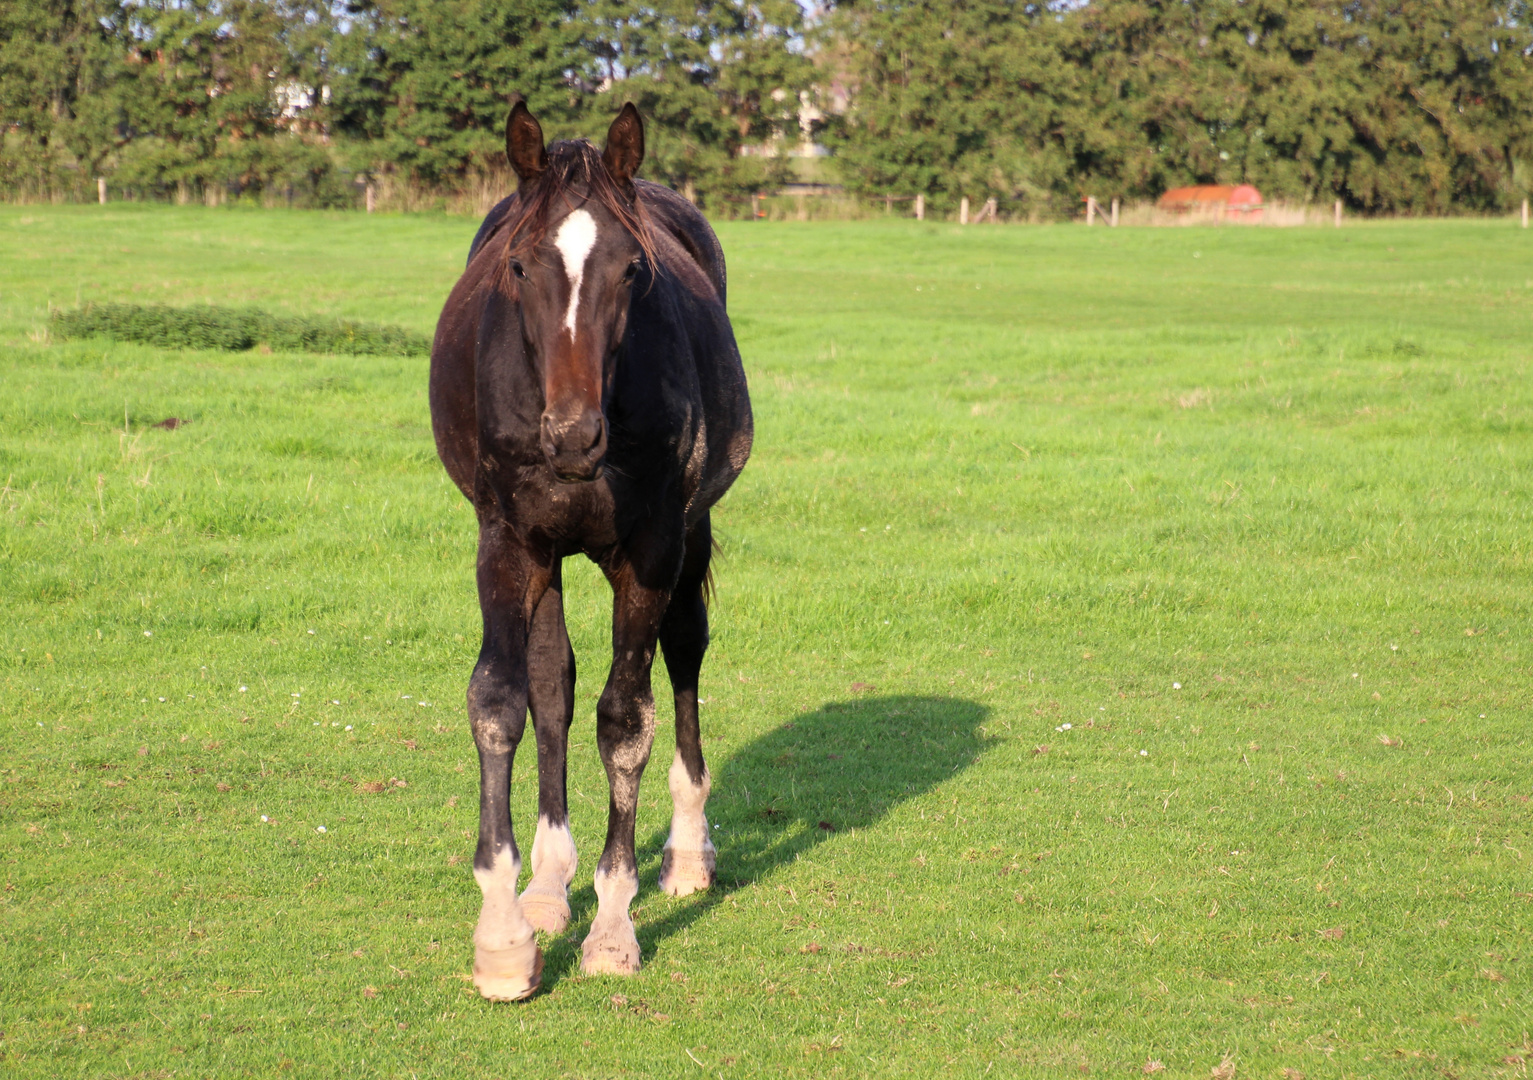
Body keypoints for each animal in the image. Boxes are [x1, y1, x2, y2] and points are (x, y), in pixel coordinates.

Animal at [429, 103, 751, 1004]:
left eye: (632, 270)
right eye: (518, 266)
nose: (572, 436)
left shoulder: (652, 547)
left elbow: (625, 720)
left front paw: (613, 926)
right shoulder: (508, 543)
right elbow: (504, 701)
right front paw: (504, 936)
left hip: (689, 535)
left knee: (684, 656)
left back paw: (686, 852)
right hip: (548, 558)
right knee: (553, 685)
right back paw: (546, 884)